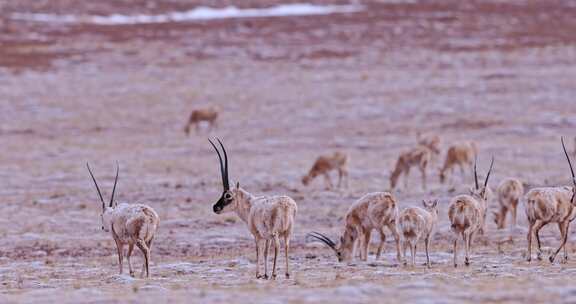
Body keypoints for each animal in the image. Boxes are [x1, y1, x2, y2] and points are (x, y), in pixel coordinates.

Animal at [208, 139, 296, 280]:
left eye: (228, 195)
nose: (215, 207)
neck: (251, 205)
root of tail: (286, 205)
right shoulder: (267, 237)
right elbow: (265, 252)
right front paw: (265, 274)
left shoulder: (257, 235)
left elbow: (258, 251)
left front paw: (258, 274)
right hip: (288, 232)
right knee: (287, 246)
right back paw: (287, 273)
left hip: (275, 233)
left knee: (278, 246)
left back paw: (274, 273)